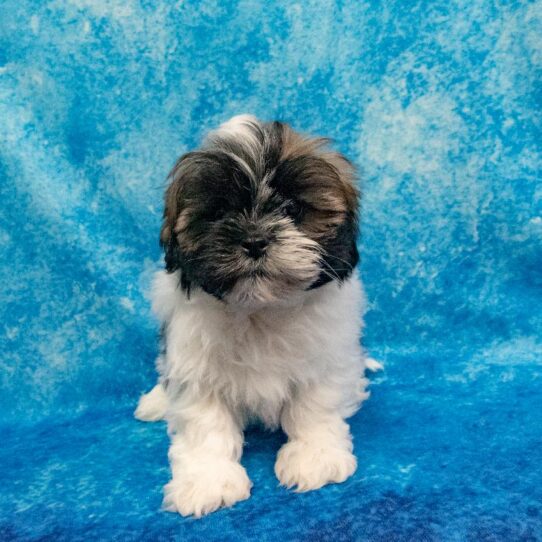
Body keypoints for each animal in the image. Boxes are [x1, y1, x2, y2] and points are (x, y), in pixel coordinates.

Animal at [135, 116, 378, 520]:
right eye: (218, 213)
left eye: (292, 209)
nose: (254, 240)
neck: (259, 310)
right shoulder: (194, 365)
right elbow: (204, 423)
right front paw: (207, 481)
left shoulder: (327, 355)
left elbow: (315, 405)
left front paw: (315, 456)